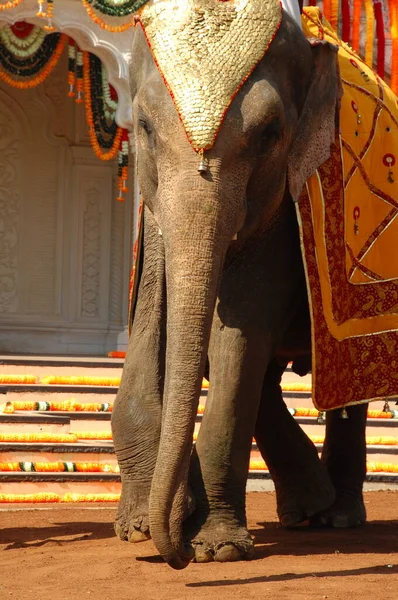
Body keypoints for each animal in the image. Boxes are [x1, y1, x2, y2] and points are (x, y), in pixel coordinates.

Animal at [110, 4, 368, 568]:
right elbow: (164, 321)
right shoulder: (154, 213)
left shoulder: (283, 212)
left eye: (271, 132)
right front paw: (140, 529)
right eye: (142, 127)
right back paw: (307, 508)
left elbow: (238, 330)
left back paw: (337, 516)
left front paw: (217, 550)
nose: (175, 552)